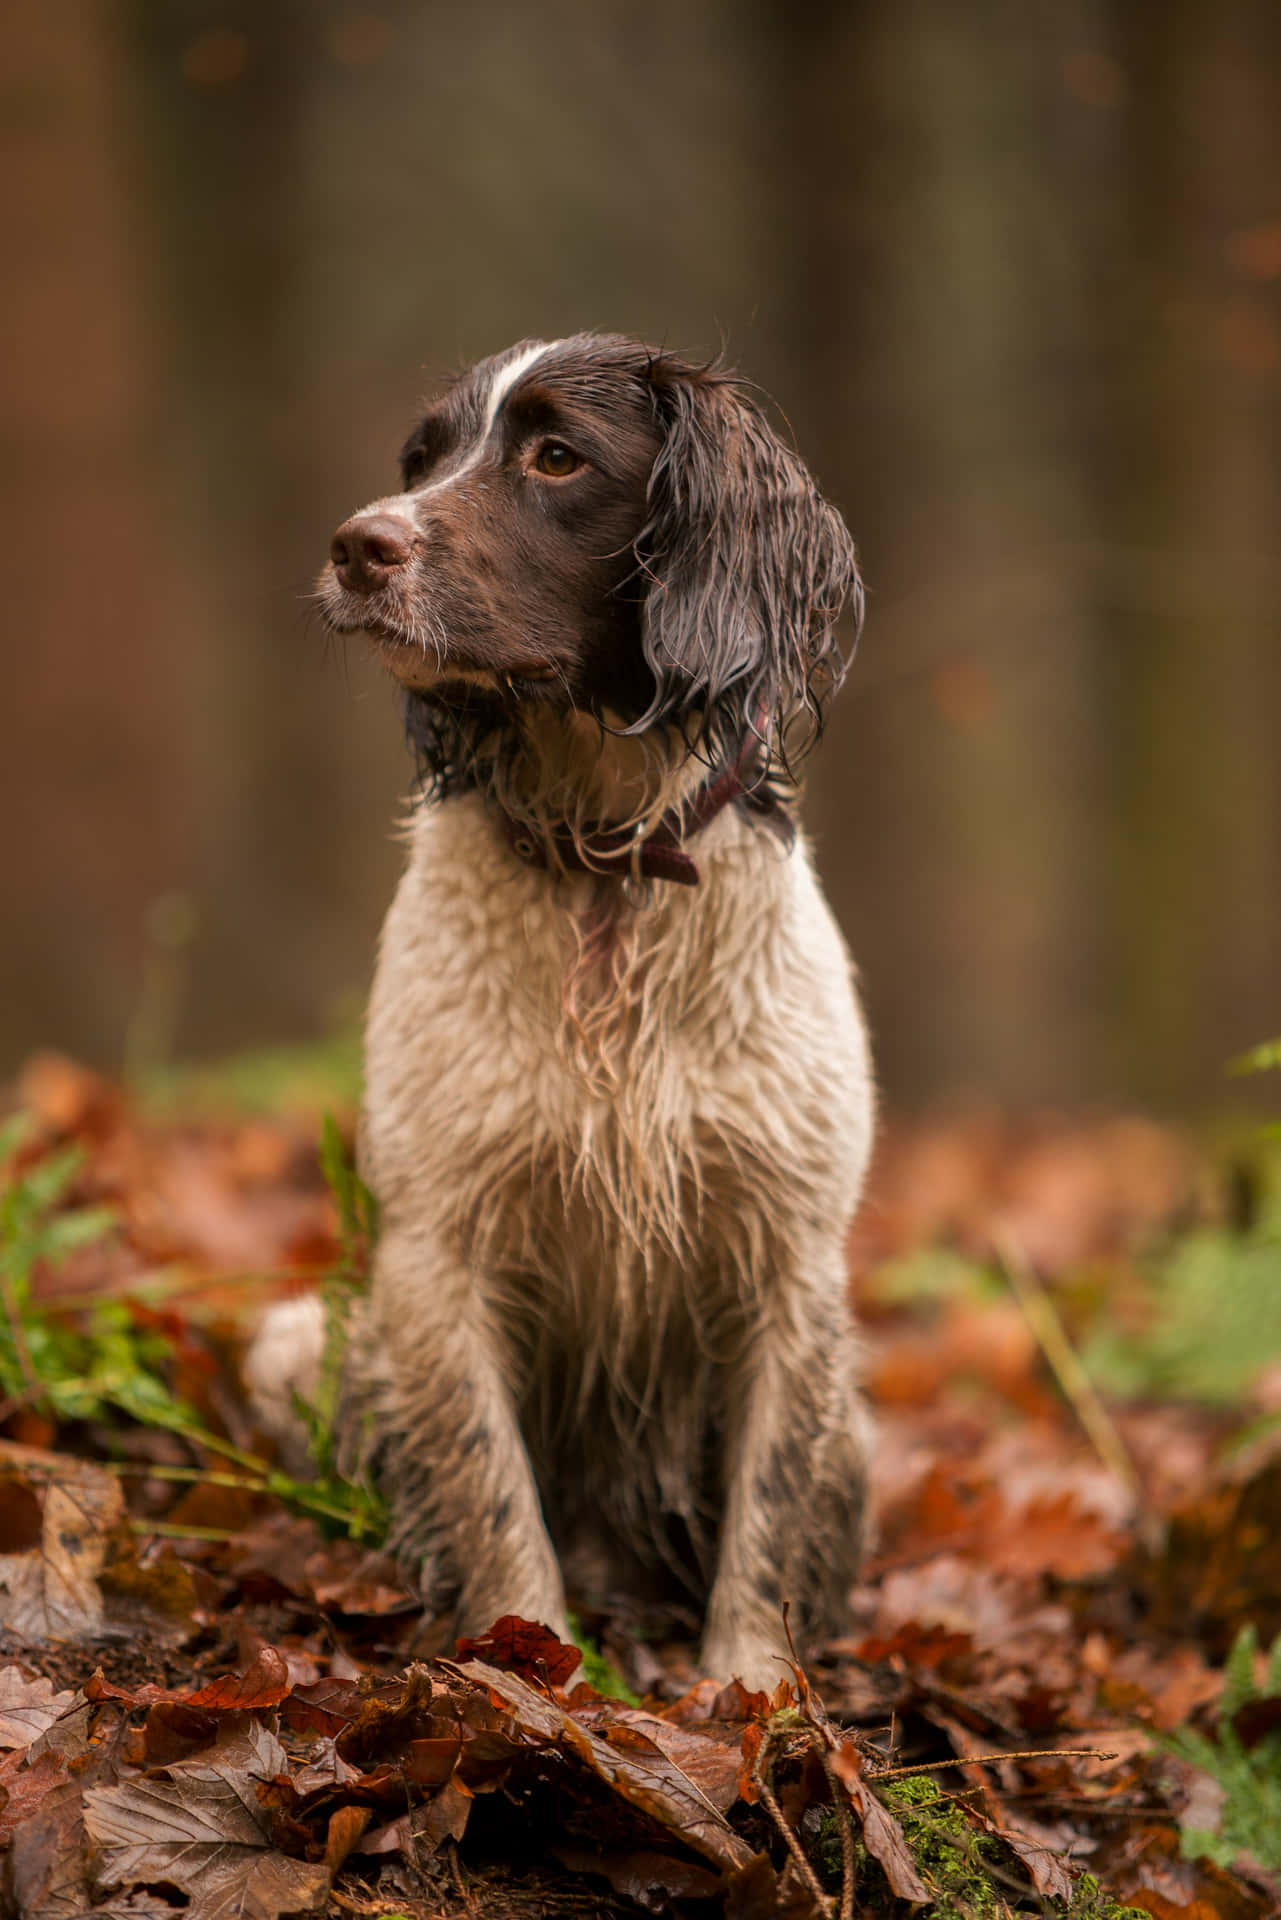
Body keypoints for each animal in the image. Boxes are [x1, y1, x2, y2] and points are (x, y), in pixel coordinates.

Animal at [245, 337, 875, 1689]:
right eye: (421, 459)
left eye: (555, 456)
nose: (355, 545)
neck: (605, 874)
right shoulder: (439, 1251)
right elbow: (492, 1499)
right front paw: (531, 1671)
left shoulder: (789, 1256)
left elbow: (767, 1514)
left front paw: (749, 1696)